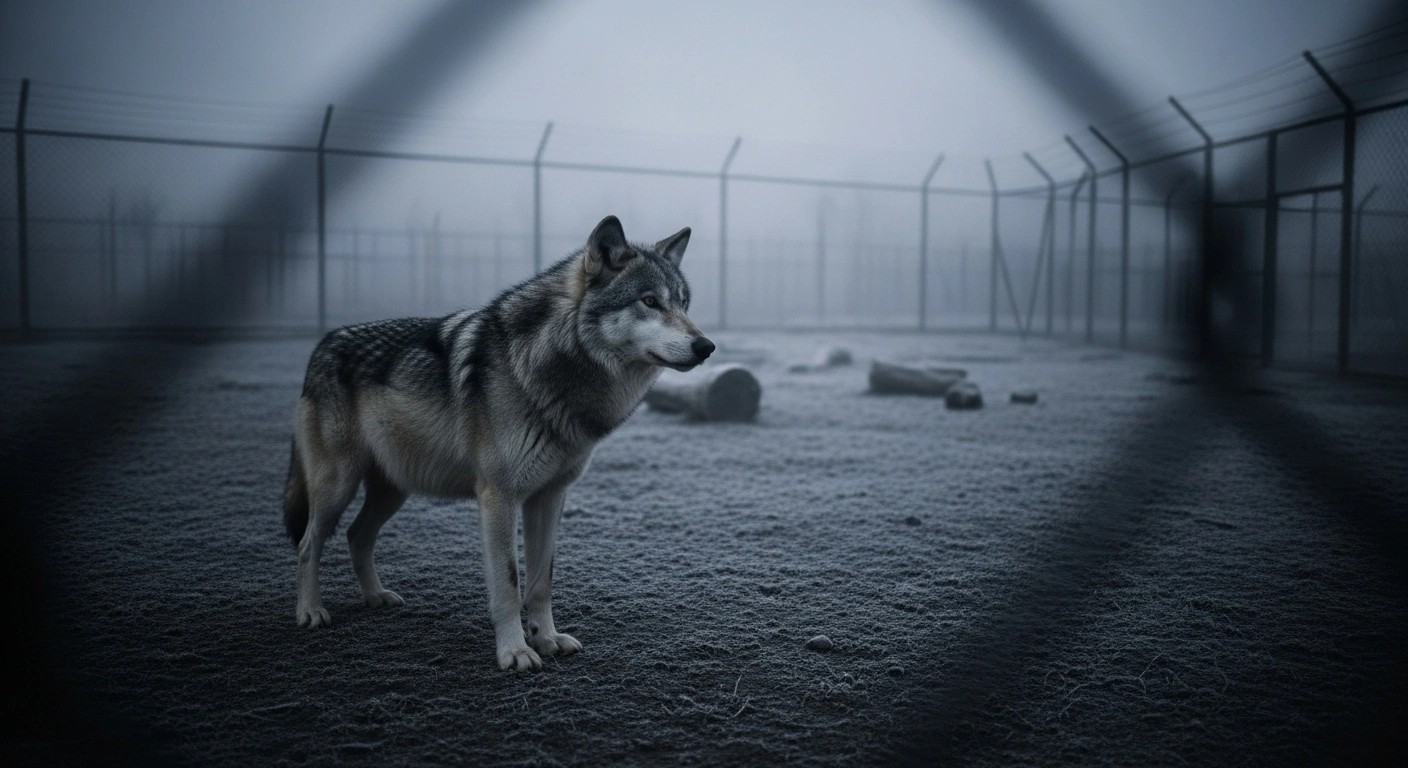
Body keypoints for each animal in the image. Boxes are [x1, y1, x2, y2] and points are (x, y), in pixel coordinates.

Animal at [283, 215, 713, 670]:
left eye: (683, 304)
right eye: (649, 301)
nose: (706, 346)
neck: (547, 373)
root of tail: (322, 345)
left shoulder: (549, 496)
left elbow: (541, 581)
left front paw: (548, 639)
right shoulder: (499, 497)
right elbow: (509, 581)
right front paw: (515, 651)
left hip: (393, 490)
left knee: (356, 536)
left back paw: (375, 597)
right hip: (338, 486)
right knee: (309, 543)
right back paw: (310, 611)